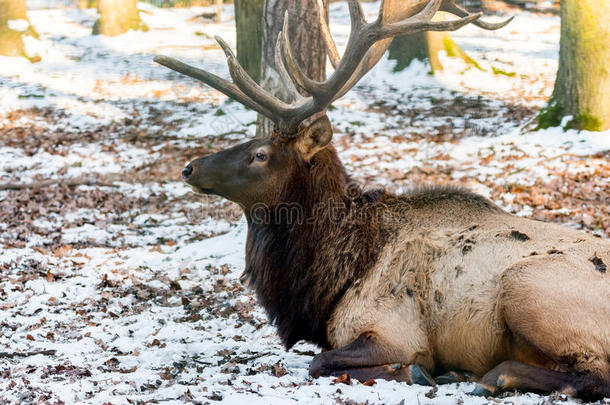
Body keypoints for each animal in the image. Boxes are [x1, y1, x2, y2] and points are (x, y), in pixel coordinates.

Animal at [153, 0, 608, 398]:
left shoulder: (393, 329)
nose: (190, 167)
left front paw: (416, 372)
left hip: (528, 288)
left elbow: (322, 361)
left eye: (260, 154)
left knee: (592, 375)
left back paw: (492, 377)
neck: (328, 283)